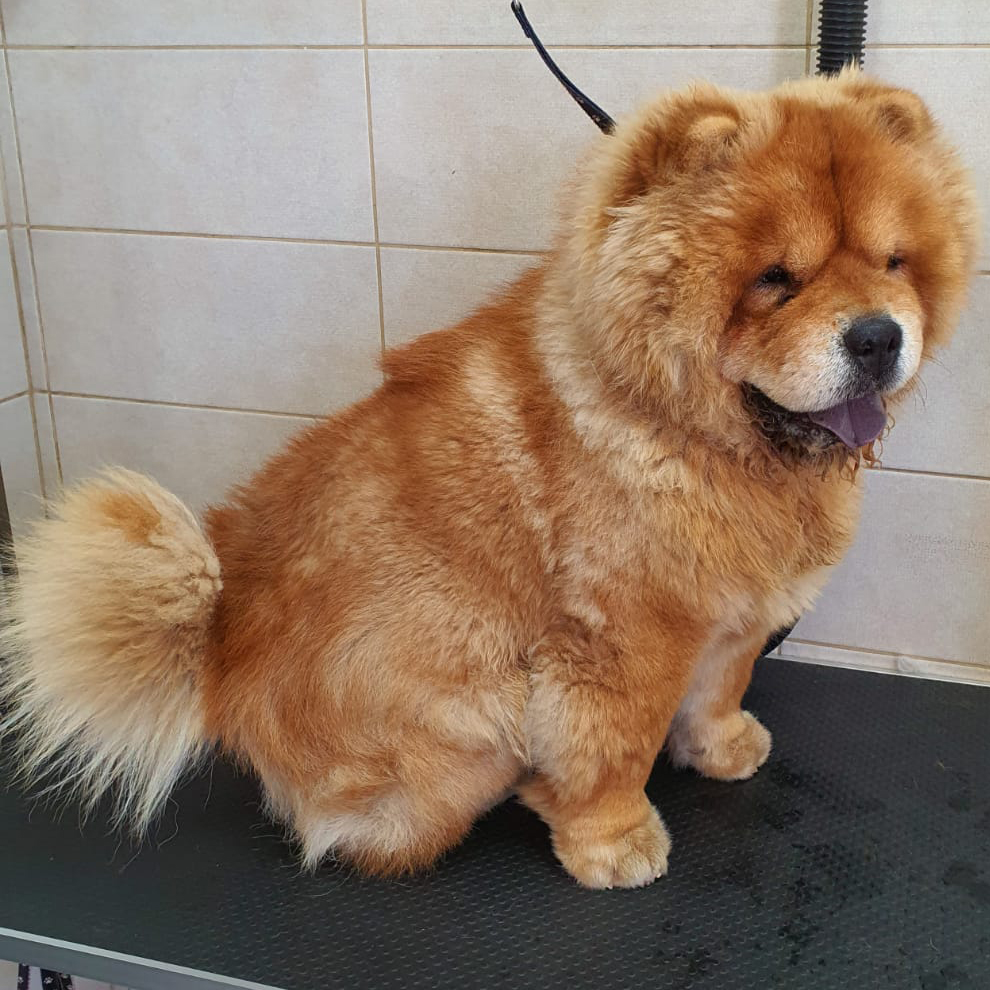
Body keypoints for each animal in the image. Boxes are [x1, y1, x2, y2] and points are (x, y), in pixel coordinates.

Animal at [0, 69, 977, 888]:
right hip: (479, 713)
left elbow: (720, 686)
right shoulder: (623, 635)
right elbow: (617, 744)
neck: (702, 440)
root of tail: (223, 647)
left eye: (892, 261)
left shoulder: (732, 608)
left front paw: (723, 745)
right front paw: (614, 842)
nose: (878, 335)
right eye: (775, 279)